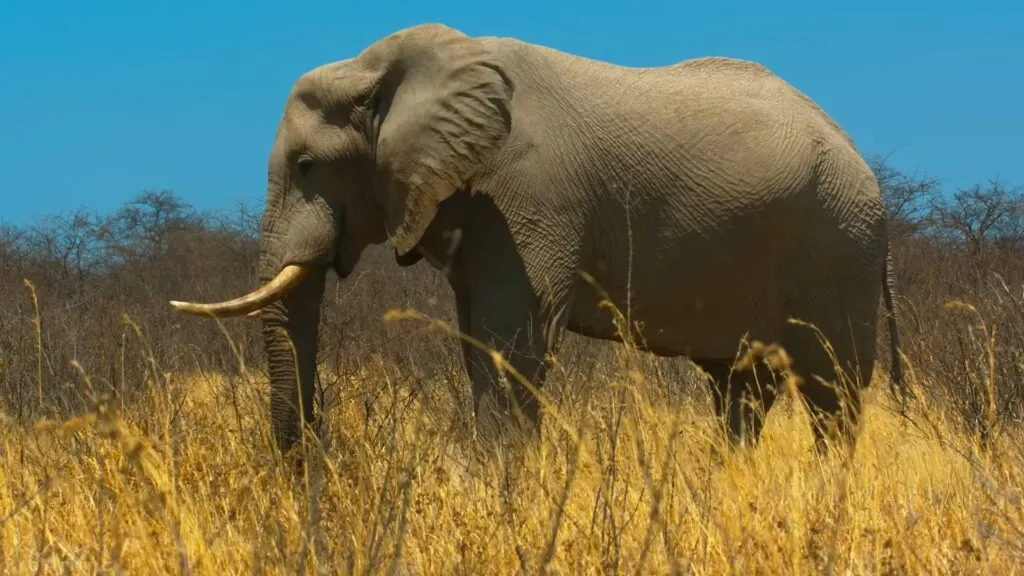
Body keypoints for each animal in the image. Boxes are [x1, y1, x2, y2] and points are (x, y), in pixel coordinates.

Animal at [169, 22, 905, 453]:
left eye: (305, 166)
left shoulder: (526, 195)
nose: (313, 463)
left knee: (831, 390)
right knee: (741, 389)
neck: (385, 67)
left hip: (838, 245)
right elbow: (478, 339)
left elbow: (512, 340)